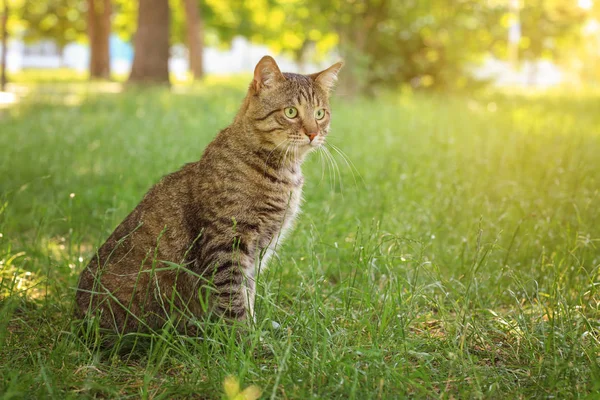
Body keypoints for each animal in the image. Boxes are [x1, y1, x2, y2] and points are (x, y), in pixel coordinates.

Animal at [75, 54, 342, 332]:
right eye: (291, 112)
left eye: (320, 114)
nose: (313, 133)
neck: (283, 171)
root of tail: (77, 318)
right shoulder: (227, 243)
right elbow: (234, 298)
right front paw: (244, 336)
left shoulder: (257, 252)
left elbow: (248, 292)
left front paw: (255, 330)